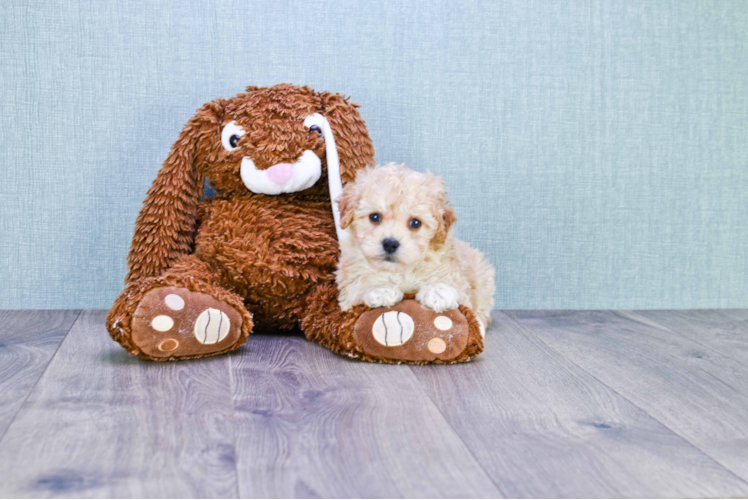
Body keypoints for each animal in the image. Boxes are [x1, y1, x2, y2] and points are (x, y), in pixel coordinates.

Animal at [336, 164, 494, 334]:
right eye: (375, 217)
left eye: (415, 223)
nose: (390, 243)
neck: (401, 272)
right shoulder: (348, 283)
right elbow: (357, 286)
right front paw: (380, 289)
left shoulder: (457, 276)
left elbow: (456, 288)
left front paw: (438, 291)